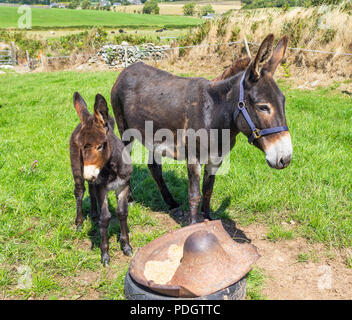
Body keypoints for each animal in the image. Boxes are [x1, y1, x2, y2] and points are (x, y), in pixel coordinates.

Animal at [69, 92, 133, 264]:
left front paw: (126, 246)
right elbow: (105, 219)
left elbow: (122, 212)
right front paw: (105, 254)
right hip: (77, 171)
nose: (89, 174)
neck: (112, 168)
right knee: (80, 192)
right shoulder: (102, 189)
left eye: (100, 146)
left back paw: (93, 213)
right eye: (81, 146)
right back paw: (79, 224)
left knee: (91, 189)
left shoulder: (123, 186)